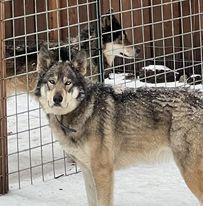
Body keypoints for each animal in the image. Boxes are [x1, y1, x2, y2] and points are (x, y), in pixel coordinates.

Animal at [34, 46, 203, 206]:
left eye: (68, 83)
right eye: (51, 82)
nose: (57, 99)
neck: (82, 111)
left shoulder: (103, 171)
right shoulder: (87, 171)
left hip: (190, 172)